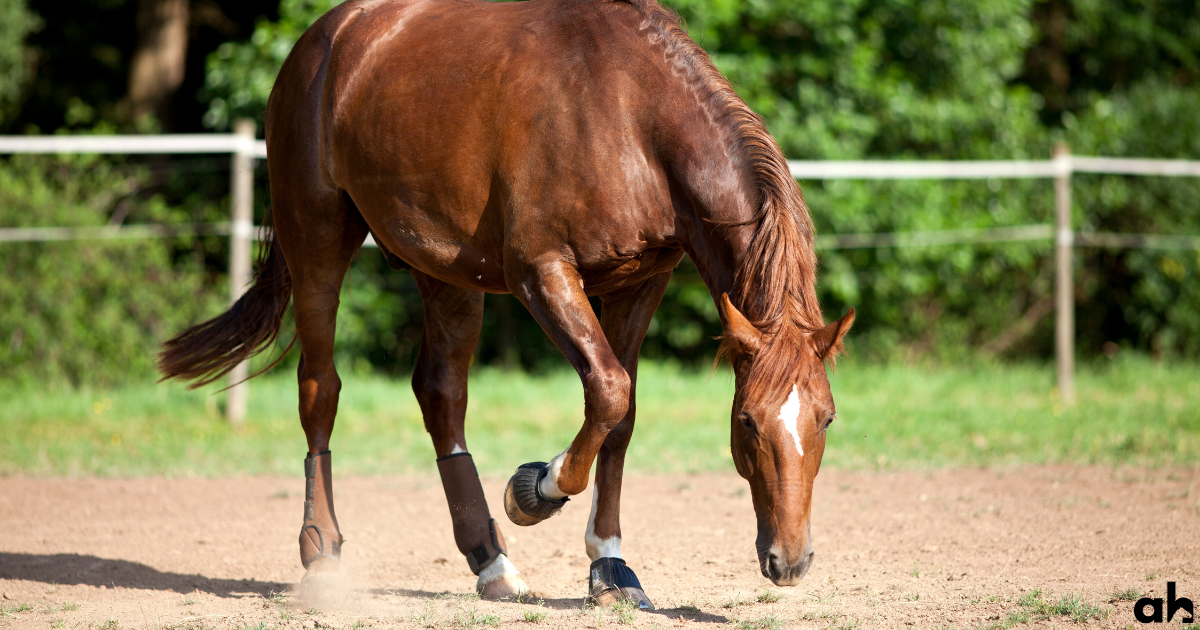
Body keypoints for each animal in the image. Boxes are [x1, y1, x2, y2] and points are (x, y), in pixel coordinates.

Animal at [159, 0, 854, 609]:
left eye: (825, 420)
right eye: (747, 423)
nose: (790, 561)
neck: (630, 116)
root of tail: (324, 40)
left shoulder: (640, 282)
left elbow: (622, 414)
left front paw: (610, 566)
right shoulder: (540, 271)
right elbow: (607, 390)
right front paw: (535, 491)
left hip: (443, 269)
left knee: (441, 396)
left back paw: (490, 562)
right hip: (318, 243)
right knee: (319, 388)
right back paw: (323, 556)